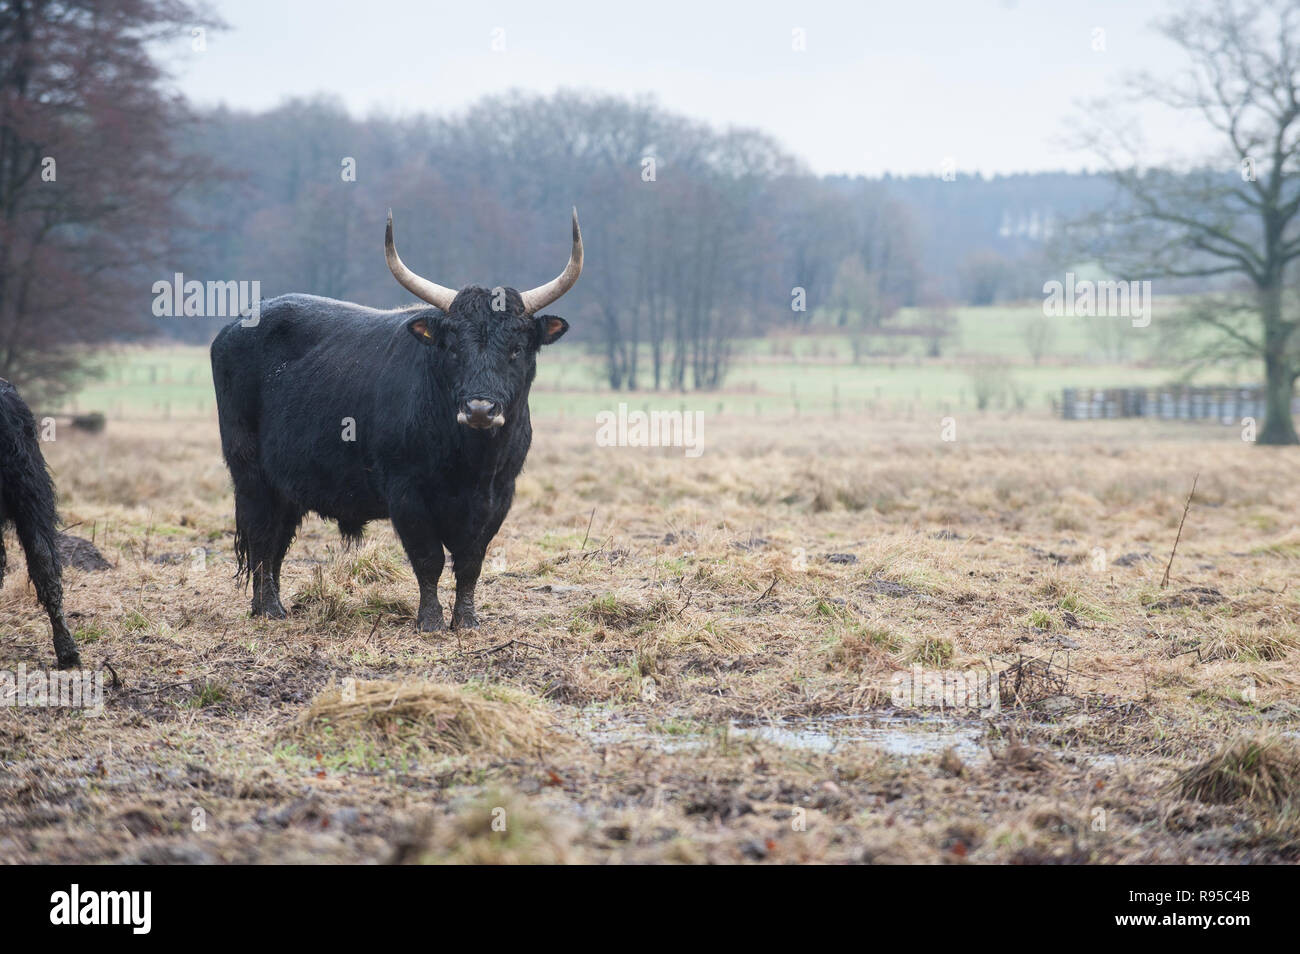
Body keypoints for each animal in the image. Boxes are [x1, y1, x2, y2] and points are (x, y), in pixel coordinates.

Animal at [210, 207, 582, 634]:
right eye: (452, 348)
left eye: (517, 349)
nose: (479, 410)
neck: (471, 462)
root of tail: (238, 324)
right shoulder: (407, 494)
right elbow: (428, 559)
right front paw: (431, 621)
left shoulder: (499, 495)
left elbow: (471, 562)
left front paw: (466, 620)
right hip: (250, 473)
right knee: (261, 535)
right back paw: (270, 608)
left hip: (285, 482)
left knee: (276, 542)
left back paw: (264, 606)